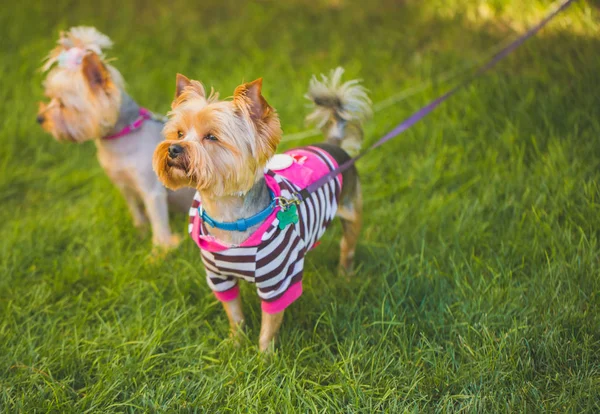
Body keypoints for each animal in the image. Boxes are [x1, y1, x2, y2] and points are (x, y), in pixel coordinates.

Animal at [154, 67, 370, 350]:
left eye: (211, 137)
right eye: (179, 133)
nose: (174, 148)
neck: (227, 215)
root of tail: (334, 144)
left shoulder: (276, 282)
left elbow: (269, 324)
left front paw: (264, 355)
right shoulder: (219, 277)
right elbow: (234, 313)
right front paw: (235, 342)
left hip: (352, 213)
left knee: (348, 247)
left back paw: (345, 275)